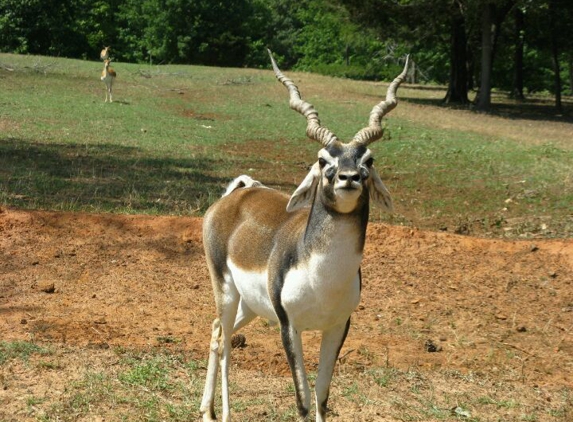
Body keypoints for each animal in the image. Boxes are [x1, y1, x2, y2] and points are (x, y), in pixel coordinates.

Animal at [199, 47, 408, 420]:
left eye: (368, 159)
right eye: (324, 159)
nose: (350, 177)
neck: (321, 276)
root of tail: (239, 193)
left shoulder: (338, 326)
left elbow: (322, 394)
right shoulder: (289, 326)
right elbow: (303, 399)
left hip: (251, 306)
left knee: (216, 331)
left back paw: (205, 410)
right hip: (225, 291)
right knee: (224, 342)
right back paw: (222, 413)